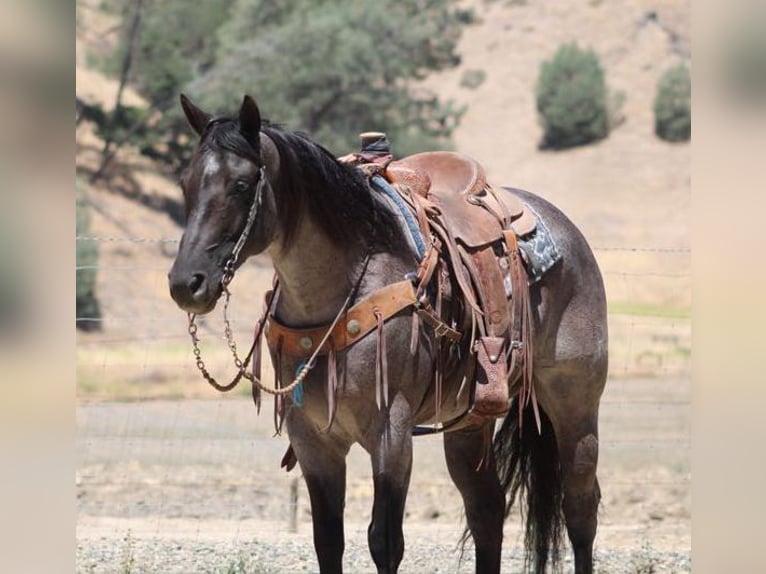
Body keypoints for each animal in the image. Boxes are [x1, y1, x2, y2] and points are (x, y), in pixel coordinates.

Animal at [168, 94, 608, 574]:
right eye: (186, 182)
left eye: (242, 184)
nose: (186, 283)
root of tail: (569, 233)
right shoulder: (313, 443)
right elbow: (328, 539)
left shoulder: (391, 434)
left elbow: (385, 540)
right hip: (469, 420)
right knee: (487, 510)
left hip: (574, 405)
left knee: (580, 508)